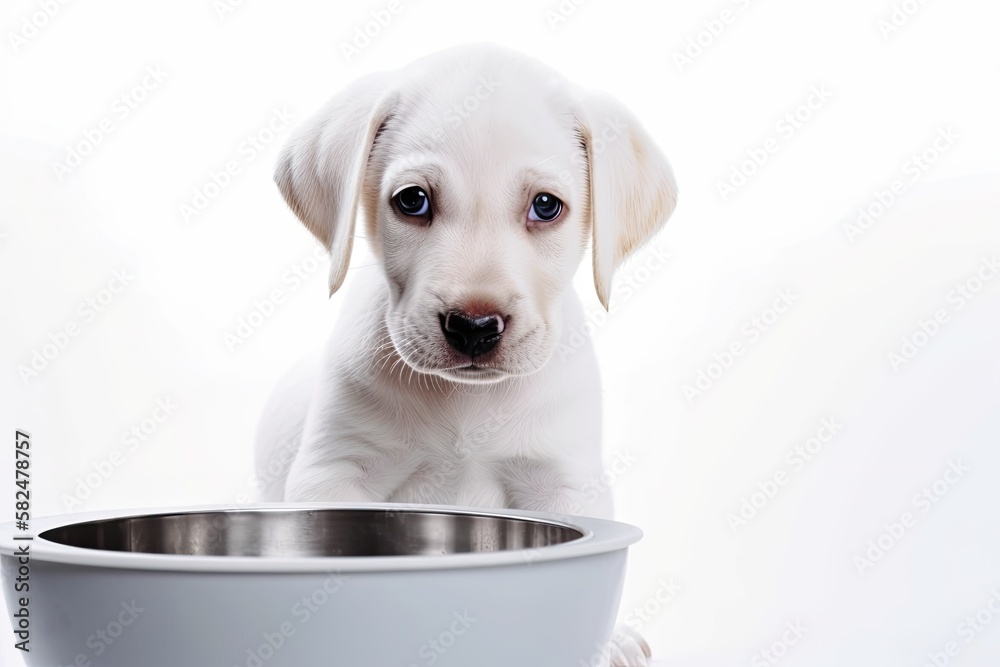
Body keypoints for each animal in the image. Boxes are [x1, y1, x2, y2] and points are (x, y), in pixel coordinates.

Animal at [258, 44, 680, 664]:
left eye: (546, 206)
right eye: (412, 201)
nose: (475, 328)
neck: (465, 405)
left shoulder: (562, 482)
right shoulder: (334, 473)